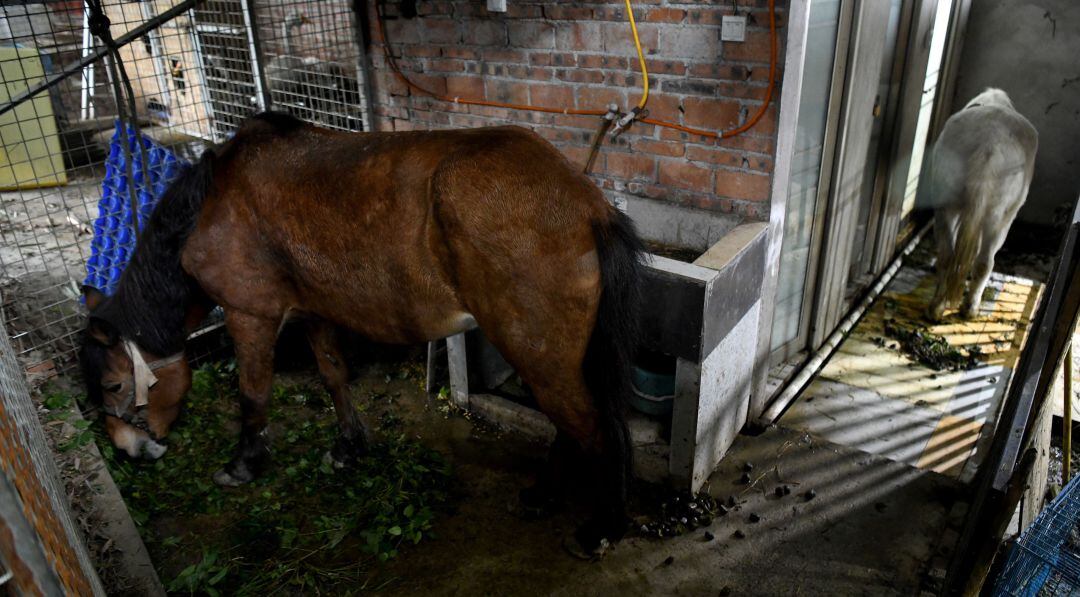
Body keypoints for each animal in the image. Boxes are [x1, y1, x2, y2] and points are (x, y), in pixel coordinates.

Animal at [82, 110, 648, 548]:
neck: (210, 206)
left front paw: (242, 465)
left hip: (537, 352)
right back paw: (544, 496)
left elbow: (253, 395)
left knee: (589, 427)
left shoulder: (251, 316)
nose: (128, 450)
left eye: (112, 384)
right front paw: (349, 447)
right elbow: (333, 376)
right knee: (570, 425)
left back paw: (602, 527)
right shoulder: (312, 312)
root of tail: (587, 203)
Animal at [928, 87, 1036, 321]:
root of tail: (990, 145)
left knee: (951, 254)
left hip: (949, 202)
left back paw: (939, 307)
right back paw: (968, 307)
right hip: (1001, 216)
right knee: (984, 260)